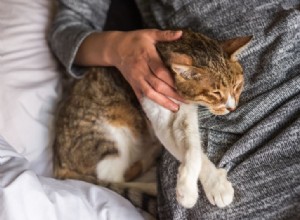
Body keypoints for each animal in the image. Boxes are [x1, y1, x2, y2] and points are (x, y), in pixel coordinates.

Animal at [52, 29, 252, 217]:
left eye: (237, 86)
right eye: (215, 93)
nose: (232, 108)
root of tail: (58, 160)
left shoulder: (184, 115)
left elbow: (193, 147)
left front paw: (210, 183)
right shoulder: (160, 116)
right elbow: (192, 153)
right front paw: (195, 190)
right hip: (111, 134)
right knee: (113, 178)